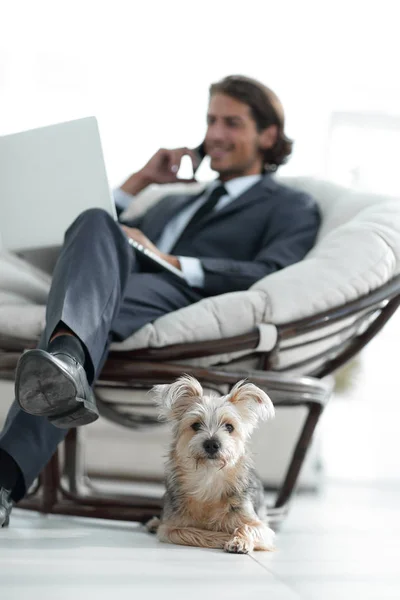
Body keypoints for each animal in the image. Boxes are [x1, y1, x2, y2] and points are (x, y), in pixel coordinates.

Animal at [145, 376, 276, 552]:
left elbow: (248, 527)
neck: (209, 477)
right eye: (196, 425)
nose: (212, 444)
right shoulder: (171, 528)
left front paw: (238, 540)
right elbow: (200, 533)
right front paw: (225, 535)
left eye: (229, 427)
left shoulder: (261, 527)